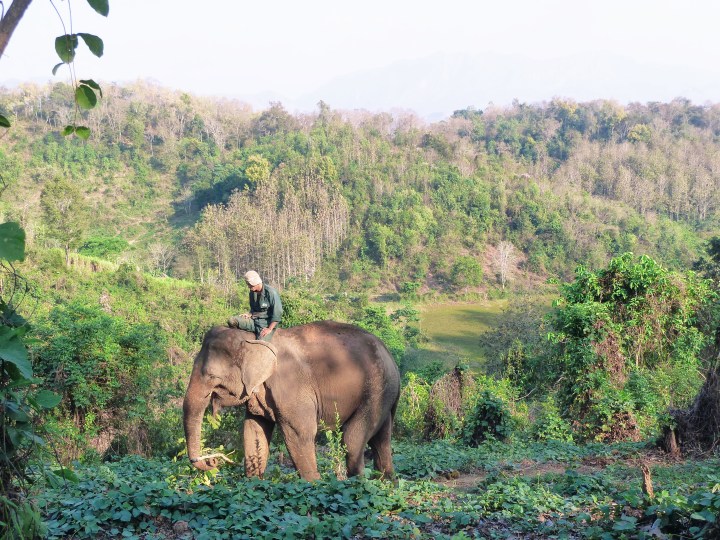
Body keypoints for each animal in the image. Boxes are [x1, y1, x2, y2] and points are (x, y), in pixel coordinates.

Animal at [183, 321, 401, 481]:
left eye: (211, 376)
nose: (212, 462)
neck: (255, 339)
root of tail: (391, 357)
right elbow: (254, 430)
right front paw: (253, 484)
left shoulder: (291, 386)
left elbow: (300, 432)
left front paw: (315, 485)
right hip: (384, 394)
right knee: (381, 438)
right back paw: (387, 482)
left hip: (375, 389)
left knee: (352, 440)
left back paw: (358, 484)